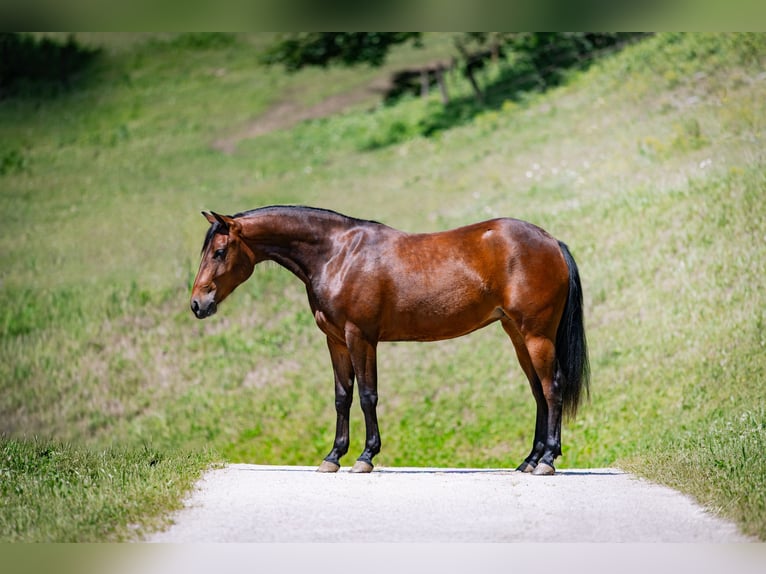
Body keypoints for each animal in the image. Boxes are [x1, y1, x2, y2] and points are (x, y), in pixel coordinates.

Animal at [190, 205, 589, 475]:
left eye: (220, 252)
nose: (197, 304)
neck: (337, 254)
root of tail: (551, 241)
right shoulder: (336, 341)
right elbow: (342, 397)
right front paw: (333, 457)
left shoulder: (360, 337)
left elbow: (368, 396)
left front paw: (365, 457)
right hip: (517, 335)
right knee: (538, 392)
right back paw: (529, 460)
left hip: (536, 335)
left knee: (552, 387)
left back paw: (547, 460)